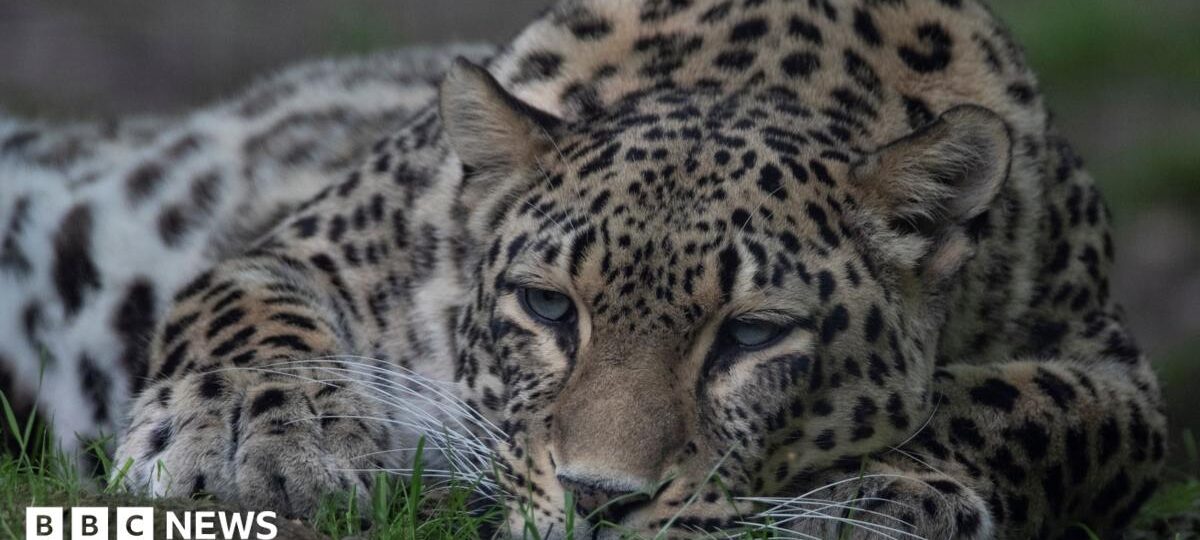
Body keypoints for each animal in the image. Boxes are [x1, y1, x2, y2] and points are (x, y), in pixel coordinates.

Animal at [1, 1, 1167, 539]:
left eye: (752, 335)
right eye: (546, 307)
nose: (600, 502)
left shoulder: (1114, 374)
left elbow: (1025, 407)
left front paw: (880, 495)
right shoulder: (307, 244)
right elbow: (246, 328)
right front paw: (254, 442)